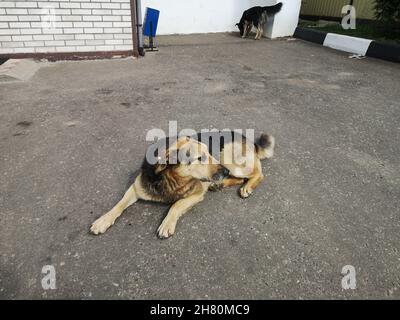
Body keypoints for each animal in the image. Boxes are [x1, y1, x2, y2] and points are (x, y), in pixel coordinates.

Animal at [90, 131, 276, 239]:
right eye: (200, 158)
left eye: (209, 152)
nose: (223, 171)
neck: (171, 178)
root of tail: (249, 140)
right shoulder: (137, 186)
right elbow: (119, 204)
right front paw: (103, 220)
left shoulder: (197, 192)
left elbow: (176, 204)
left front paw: (167, 224)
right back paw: (221, 184)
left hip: (231, 160)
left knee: (258, 174)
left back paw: (246, 187)